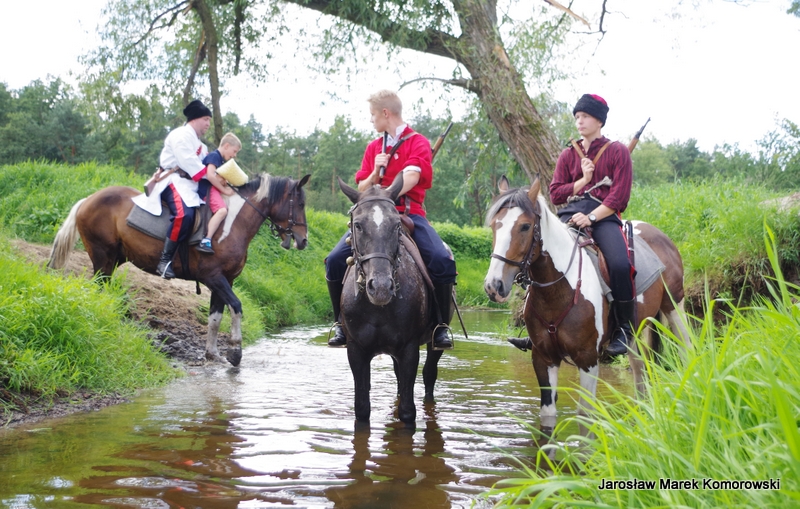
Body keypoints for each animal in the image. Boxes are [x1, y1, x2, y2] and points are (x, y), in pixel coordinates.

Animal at [47, 173, 310, 367]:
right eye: (300, 203)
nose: (303, 240)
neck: (229, 225)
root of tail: (88, 199)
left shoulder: (225, 281)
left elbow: (215, 317)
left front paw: (212, 354)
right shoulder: (214, 278)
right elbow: (236, 307)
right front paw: (235, 351)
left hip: (113, 261)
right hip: (103, 259)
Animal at [337, 174, 449, 425]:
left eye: (396, 225)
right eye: (358, 225)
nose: (380, 287)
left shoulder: (408, 349)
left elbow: (407, 411)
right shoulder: (356, 351)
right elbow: (362, 409)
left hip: (434, 343)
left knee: (429, 375)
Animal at [483, 176, 690, 431]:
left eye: (524, 226)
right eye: (495, 225)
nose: (494, 285)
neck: (560, 290)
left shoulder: (588, 359)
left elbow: (585, 414)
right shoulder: (543, 358)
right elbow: (548, 414)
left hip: (675, 307)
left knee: (686, 351)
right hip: (633, 333)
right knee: (640, 374)